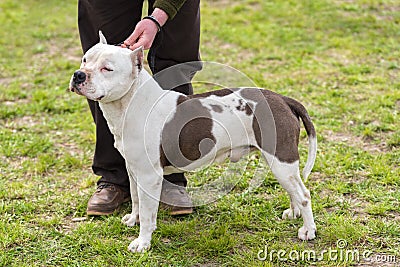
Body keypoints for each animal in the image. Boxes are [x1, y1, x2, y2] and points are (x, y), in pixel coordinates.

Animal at [69, 31, 318, 253]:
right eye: (85, 59)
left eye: (107, 69)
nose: (78, 75)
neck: (130, 103)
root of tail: (283, 99)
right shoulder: (133, 169)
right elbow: (136, 198)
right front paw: (133, 220)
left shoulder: (149, 176)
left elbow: (149, 212)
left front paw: (142, 243)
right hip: (278, 161)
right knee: (293, 190)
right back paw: (293, 213)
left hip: (281, 160)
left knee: (304, 195)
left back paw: (308, 230)